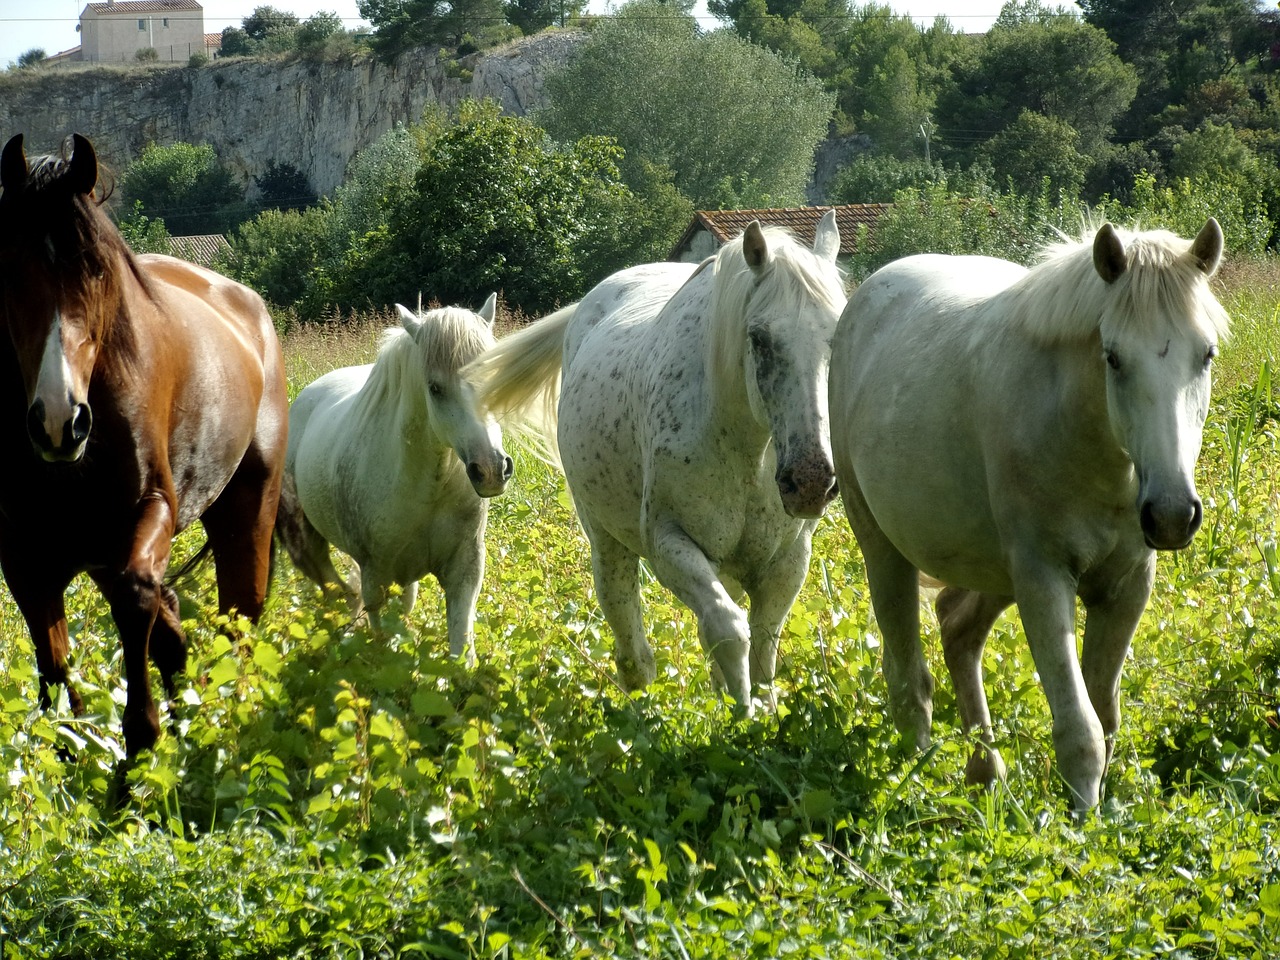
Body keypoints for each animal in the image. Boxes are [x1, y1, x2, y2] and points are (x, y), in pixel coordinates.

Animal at [0, 133, 288, 757]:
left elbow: (137, 601)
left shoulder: (149, 509)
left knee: (236, 619)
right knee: (173, 624)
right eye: (10, 269)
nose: (60, 421)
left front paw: (139, 747)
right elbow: (55, 673)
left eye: (98, 270)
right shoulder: (27, 558)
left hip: (244, 512)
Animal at [277, 296, 512, 665]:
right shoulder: (375, 573)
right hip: (310, 539)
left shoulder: (465, 569)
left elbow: (461, 647)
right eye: (435, 388)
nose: (490, 470)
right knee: (335, 590)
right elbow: (382, 639)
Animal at [471, 216, 849, 706]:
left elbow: (763, 653)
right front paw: (738, 712)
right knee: (631, 641)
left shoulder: (788, 562)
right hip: (608, 545)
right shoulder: (668, 543)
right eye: (759, 338)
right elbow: (729, 631)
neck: (747, 450)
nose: (810, 480)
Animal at [829, 217, 1228, 814]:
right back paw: (918, 788)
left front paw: (1104, 813)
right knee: (908, 681)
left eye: (1205, 354)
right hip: (885, 549)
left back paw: (985, 774)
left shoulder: (1127, 586)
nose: (1172, 514)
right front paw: (1082, 823)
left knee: (957, 630)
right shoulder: (1043, 578)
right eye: (1113, 357)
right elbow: (1081, 728)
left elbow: (1105, 716)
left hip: (995, 570)